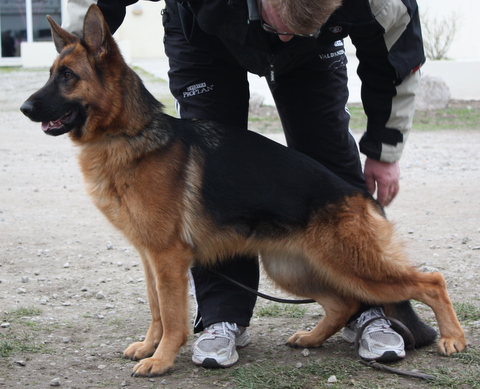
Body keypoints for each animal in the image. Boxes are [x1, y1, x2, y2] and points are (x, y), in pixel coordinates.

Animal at [21, 4, 464, 376]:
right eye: (51, 73)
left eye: (68, 76)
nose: (24, 109)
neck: (130, 134)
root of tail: (363, 197)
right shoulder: (150, 258)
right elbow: (156, 309)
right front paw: (149, 346)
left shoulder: (168, 259)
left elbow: (173, 315)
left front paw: (161, 359)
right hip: (294, 269)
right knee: (345, 302)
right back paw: (313, 338)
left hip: (354, 266)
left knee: (430, 282)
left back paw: (453, 339)